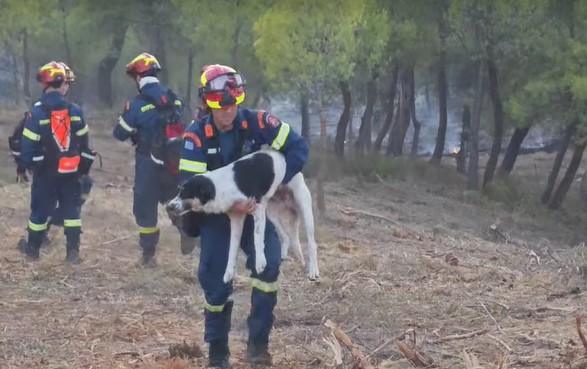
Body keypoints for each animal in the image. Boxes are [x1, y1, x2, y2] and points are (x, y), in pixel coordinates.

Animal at [165, 147, 322, 282]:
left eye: (185, 193)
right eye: (179, 191)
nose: (169, 206)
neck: (221, 186)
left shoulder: (256, 209)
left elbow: (257, 238)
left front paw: (260, 262)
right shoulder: (237, 219)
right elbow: (232, 250)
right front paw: (228, 272)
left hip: (304, 209)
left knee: (312, 243)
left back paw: (313, 271)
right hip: (270, 211)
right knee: (286, 236)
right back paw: (285, 255)